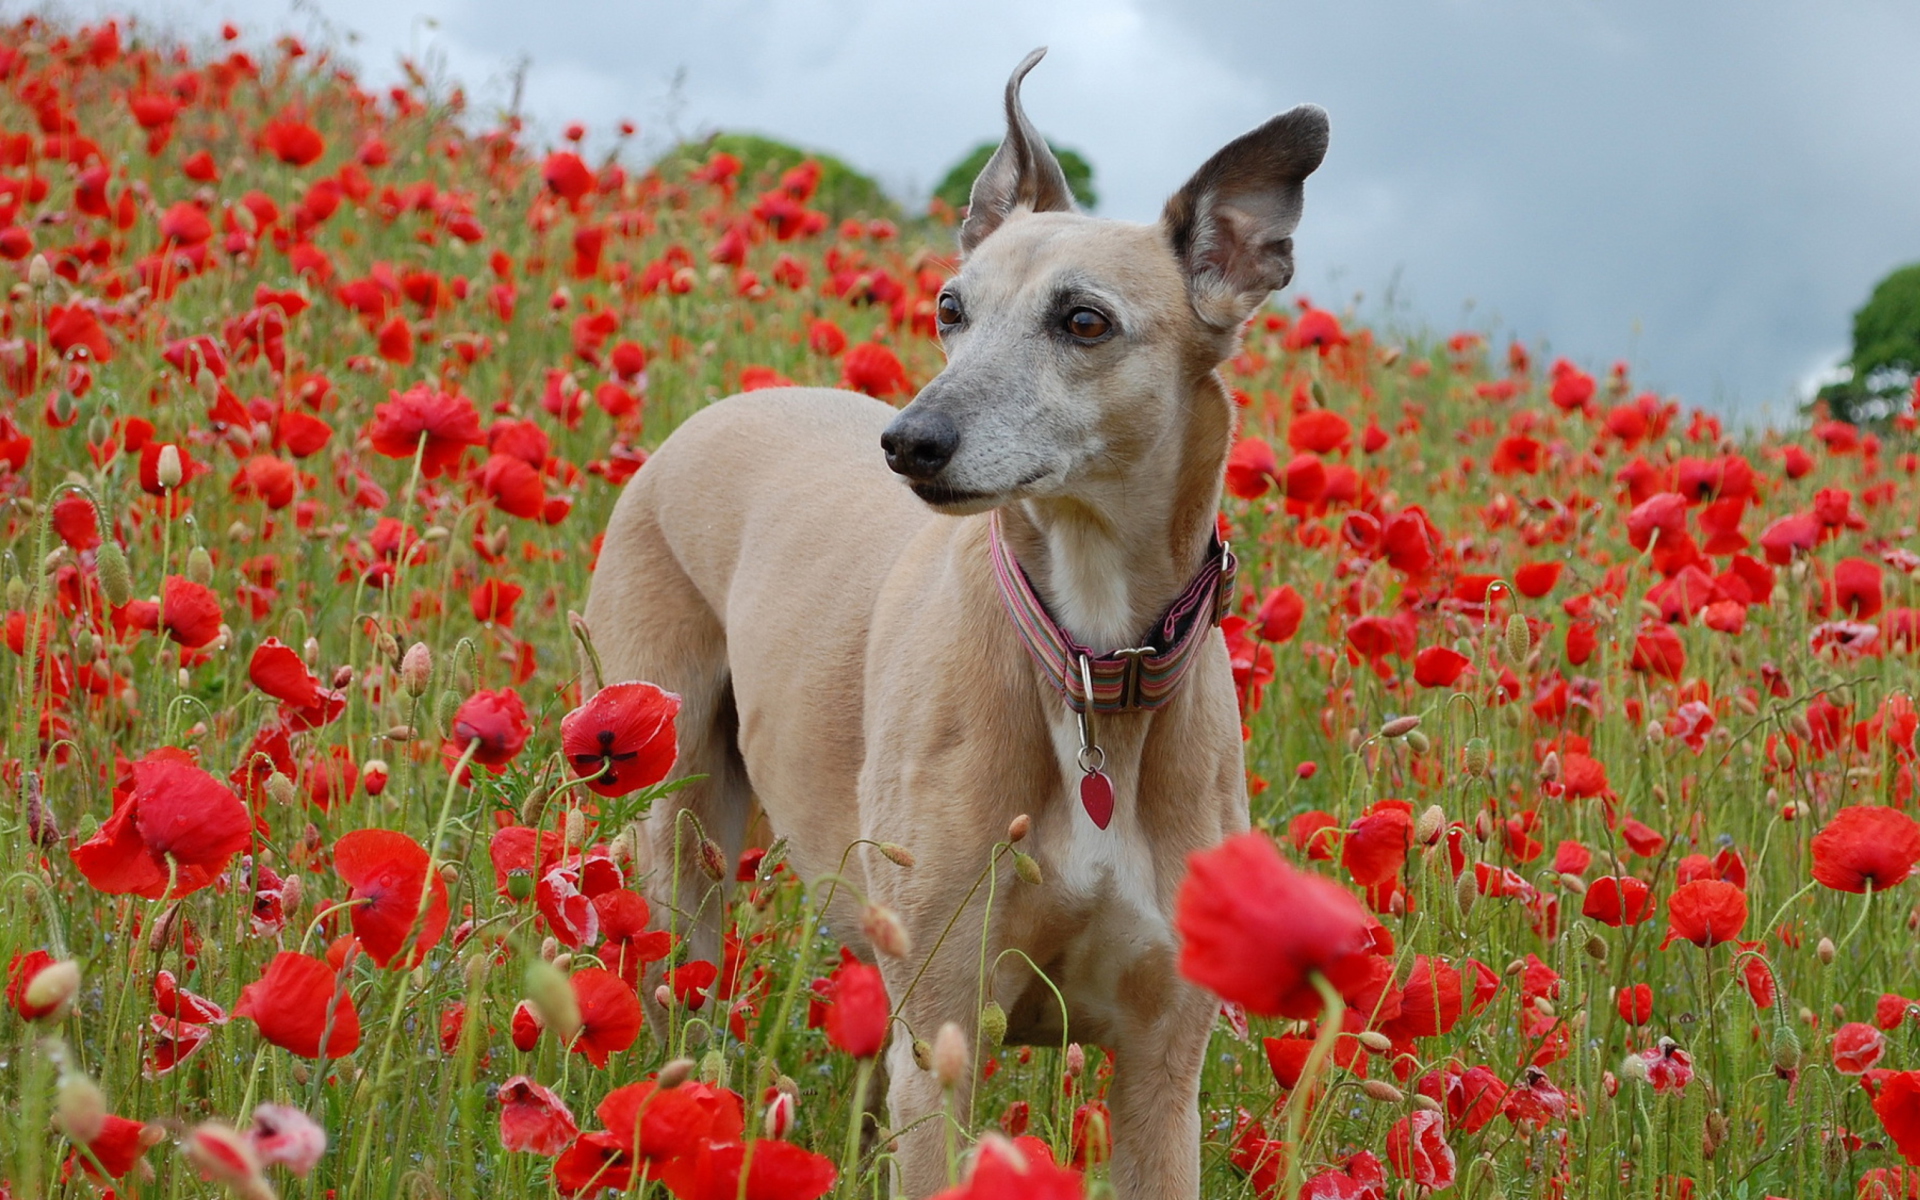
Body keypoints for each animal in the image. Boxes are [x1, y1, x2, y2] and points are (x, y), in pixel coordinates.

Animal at [583, 49, 1328, 1198]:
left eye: (1084, 321)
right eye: (950, 307)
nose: (909, 442)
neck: (1090, 667)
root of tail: (712, 413)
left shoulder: (1163, 1073)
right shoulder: (945, 1037)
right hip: (680, 835)